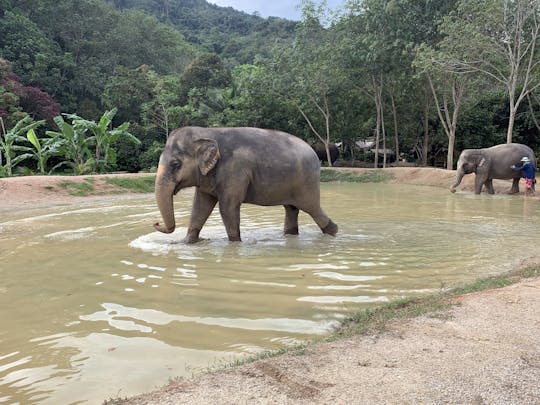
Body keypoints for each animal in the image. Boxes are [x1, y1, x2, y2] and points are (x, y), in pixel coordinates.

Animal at [153, 126, 338, 241]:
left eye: (176, 164)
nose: (156, 223)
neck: (207, 132)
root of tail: (314, 153)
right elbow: (200, 207)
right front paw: (186, 243)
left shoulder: (234, 171)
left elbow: (227, 208)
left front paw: (235, 244)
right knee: (291, 209)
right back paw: (290, 236)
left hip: (307, 183)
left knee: (313, 209)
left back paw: (333, 232)